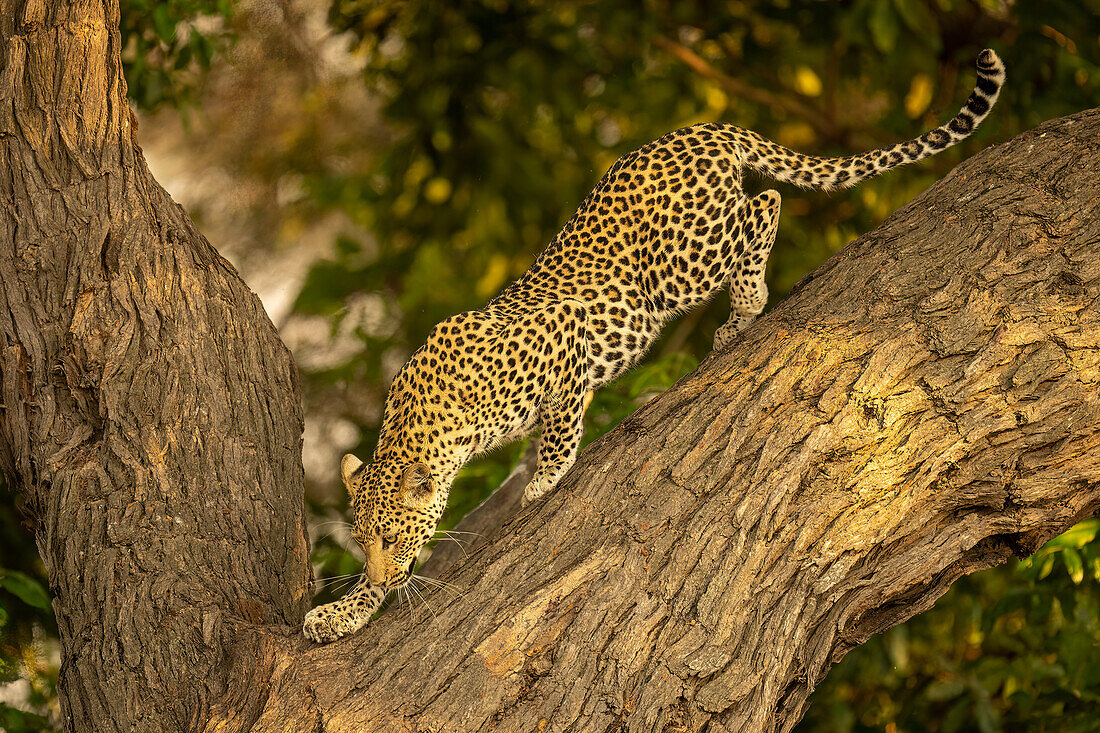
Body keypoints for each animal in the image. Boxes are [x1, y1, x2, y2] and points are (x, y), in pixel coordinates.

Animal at [303, 48, 1007, 638]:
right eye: (363, 542)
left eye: (392, 537)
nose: (378, 568)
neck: (430, 423)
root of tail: (702, 129)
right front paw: (342, 612)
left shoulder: (562, 336)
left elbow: (559, 424)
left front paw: (543, 482)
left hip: (675, 266)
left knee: (766, 204)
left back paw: (745, 308)